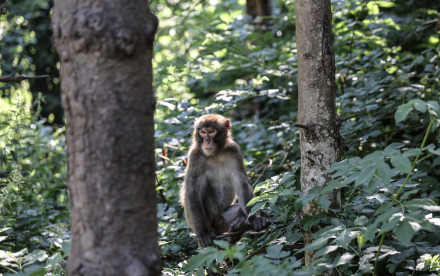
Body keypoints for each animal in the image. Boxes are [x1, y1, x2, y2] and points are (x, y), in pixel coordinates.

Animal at [179, 113, 268, 247]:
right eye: (203, 132)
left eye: (212, 131)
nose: (207, 142)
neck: (215, 155)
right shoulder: (195, 156)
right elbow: (193, 192)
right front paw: (203, 234)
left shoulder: (234, 151)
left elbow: (242, 186)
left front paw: (256, 219)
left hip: (222, 223)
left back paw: (236, 230)